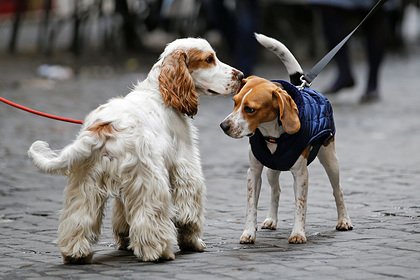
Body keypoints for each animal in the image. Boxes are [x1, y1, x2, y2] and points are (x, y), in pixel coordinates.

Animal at [27, 36, 243, 262]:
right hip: (150, 180)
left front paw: (125, 240)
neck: (161, 92)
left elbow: (122, 214)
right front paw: (192, 242)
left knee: (78, 217)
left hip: (86, 183)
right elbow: (188, 211)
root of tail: (104, 127)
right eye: (209, 59)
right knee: (149, 216)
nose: (241, 76)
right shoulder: (185, 166)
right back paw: (158, 251)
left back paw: (76, 254)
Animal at [221, 34, 352, 245]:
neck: (272, 134)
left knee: (337, 190)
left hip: (331, 160)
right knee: (276, 191)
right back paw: (271, 219)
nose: (223, 126)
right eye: (235, 102)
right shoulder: (254, 173)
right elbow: (251, 205)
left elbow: (300, 205)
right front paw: (248, 232)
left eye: (250, 109)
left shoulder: (301, 175)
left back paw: (344, 220)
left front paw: (298, 233)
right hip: (271, 170)